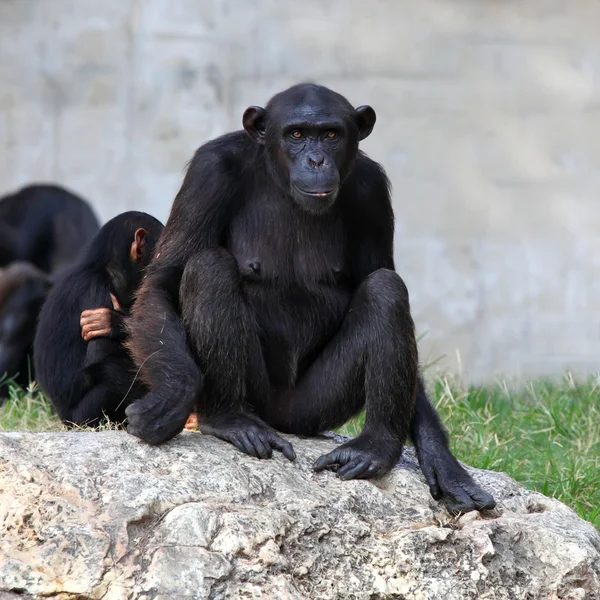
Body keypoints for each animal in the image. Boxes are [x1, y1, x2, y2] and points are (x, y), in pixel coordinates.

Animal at [124, 84, 494, 512]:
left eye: (331, 134)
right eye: (297, 134)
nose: (316, 159)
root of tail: (283, 420)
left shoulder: (371, 191)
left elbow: (377, 273)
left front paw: (441, 459)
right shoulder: (209, 172)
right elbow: (164, 280)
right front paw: (171, 397)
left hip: (316, 409)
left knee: (386, 289)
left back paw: (374, 448)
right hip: (259, 397)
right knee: (207, 266)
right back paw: (227, 419)